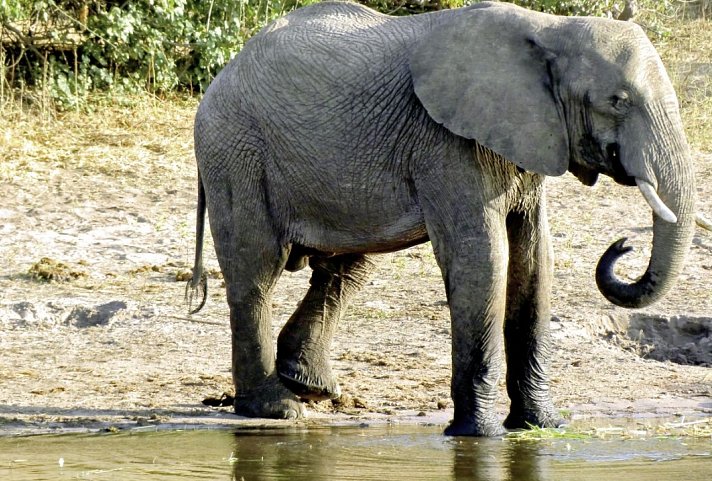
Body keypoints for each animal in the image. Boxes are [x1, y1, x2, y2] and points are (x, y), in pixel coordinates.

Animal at [186, 0, 700, 436]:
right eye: (618, 101)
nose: (623, 245)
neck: (549, 27)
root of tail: (223, 74)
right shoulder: (448, 144)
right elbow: (483, 259)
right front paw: (481, 435)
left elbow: (535, 261)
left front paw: (542, 427)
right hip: (235, 152)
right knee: (256, 270)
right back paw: (275, 408)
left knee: (346, 268)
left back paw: (311, 387)